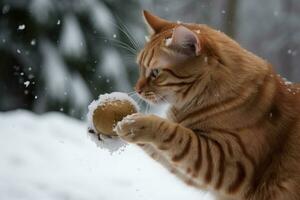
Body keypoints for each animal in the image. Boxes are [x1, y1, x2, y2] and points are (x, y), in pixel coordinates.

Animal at [115, 10, 300, 200]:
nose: (136, 89)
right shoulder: (197, 176)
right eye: (140, 67)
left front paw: (136, 124)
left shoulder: (229, 164)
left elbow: (177, 135)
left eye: (156, 72)